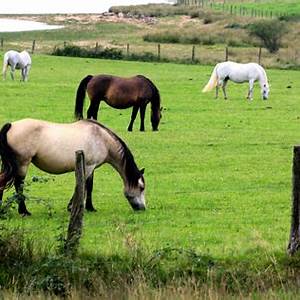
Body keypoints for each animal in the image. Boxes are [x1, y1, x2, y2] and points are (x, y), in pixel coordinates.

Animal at [0, 118, 146, 217]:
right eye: (141, 188)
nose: (143, 208)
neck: (101, 139)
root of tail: (11, 125)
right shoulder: (88, 166)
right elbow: (83, 186)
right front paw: (72, 207)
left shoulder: (91, 168)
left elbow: (89, 186)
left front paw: (90, 207)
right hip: (22, 164)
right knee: (19, 185)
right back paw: (24, 211)